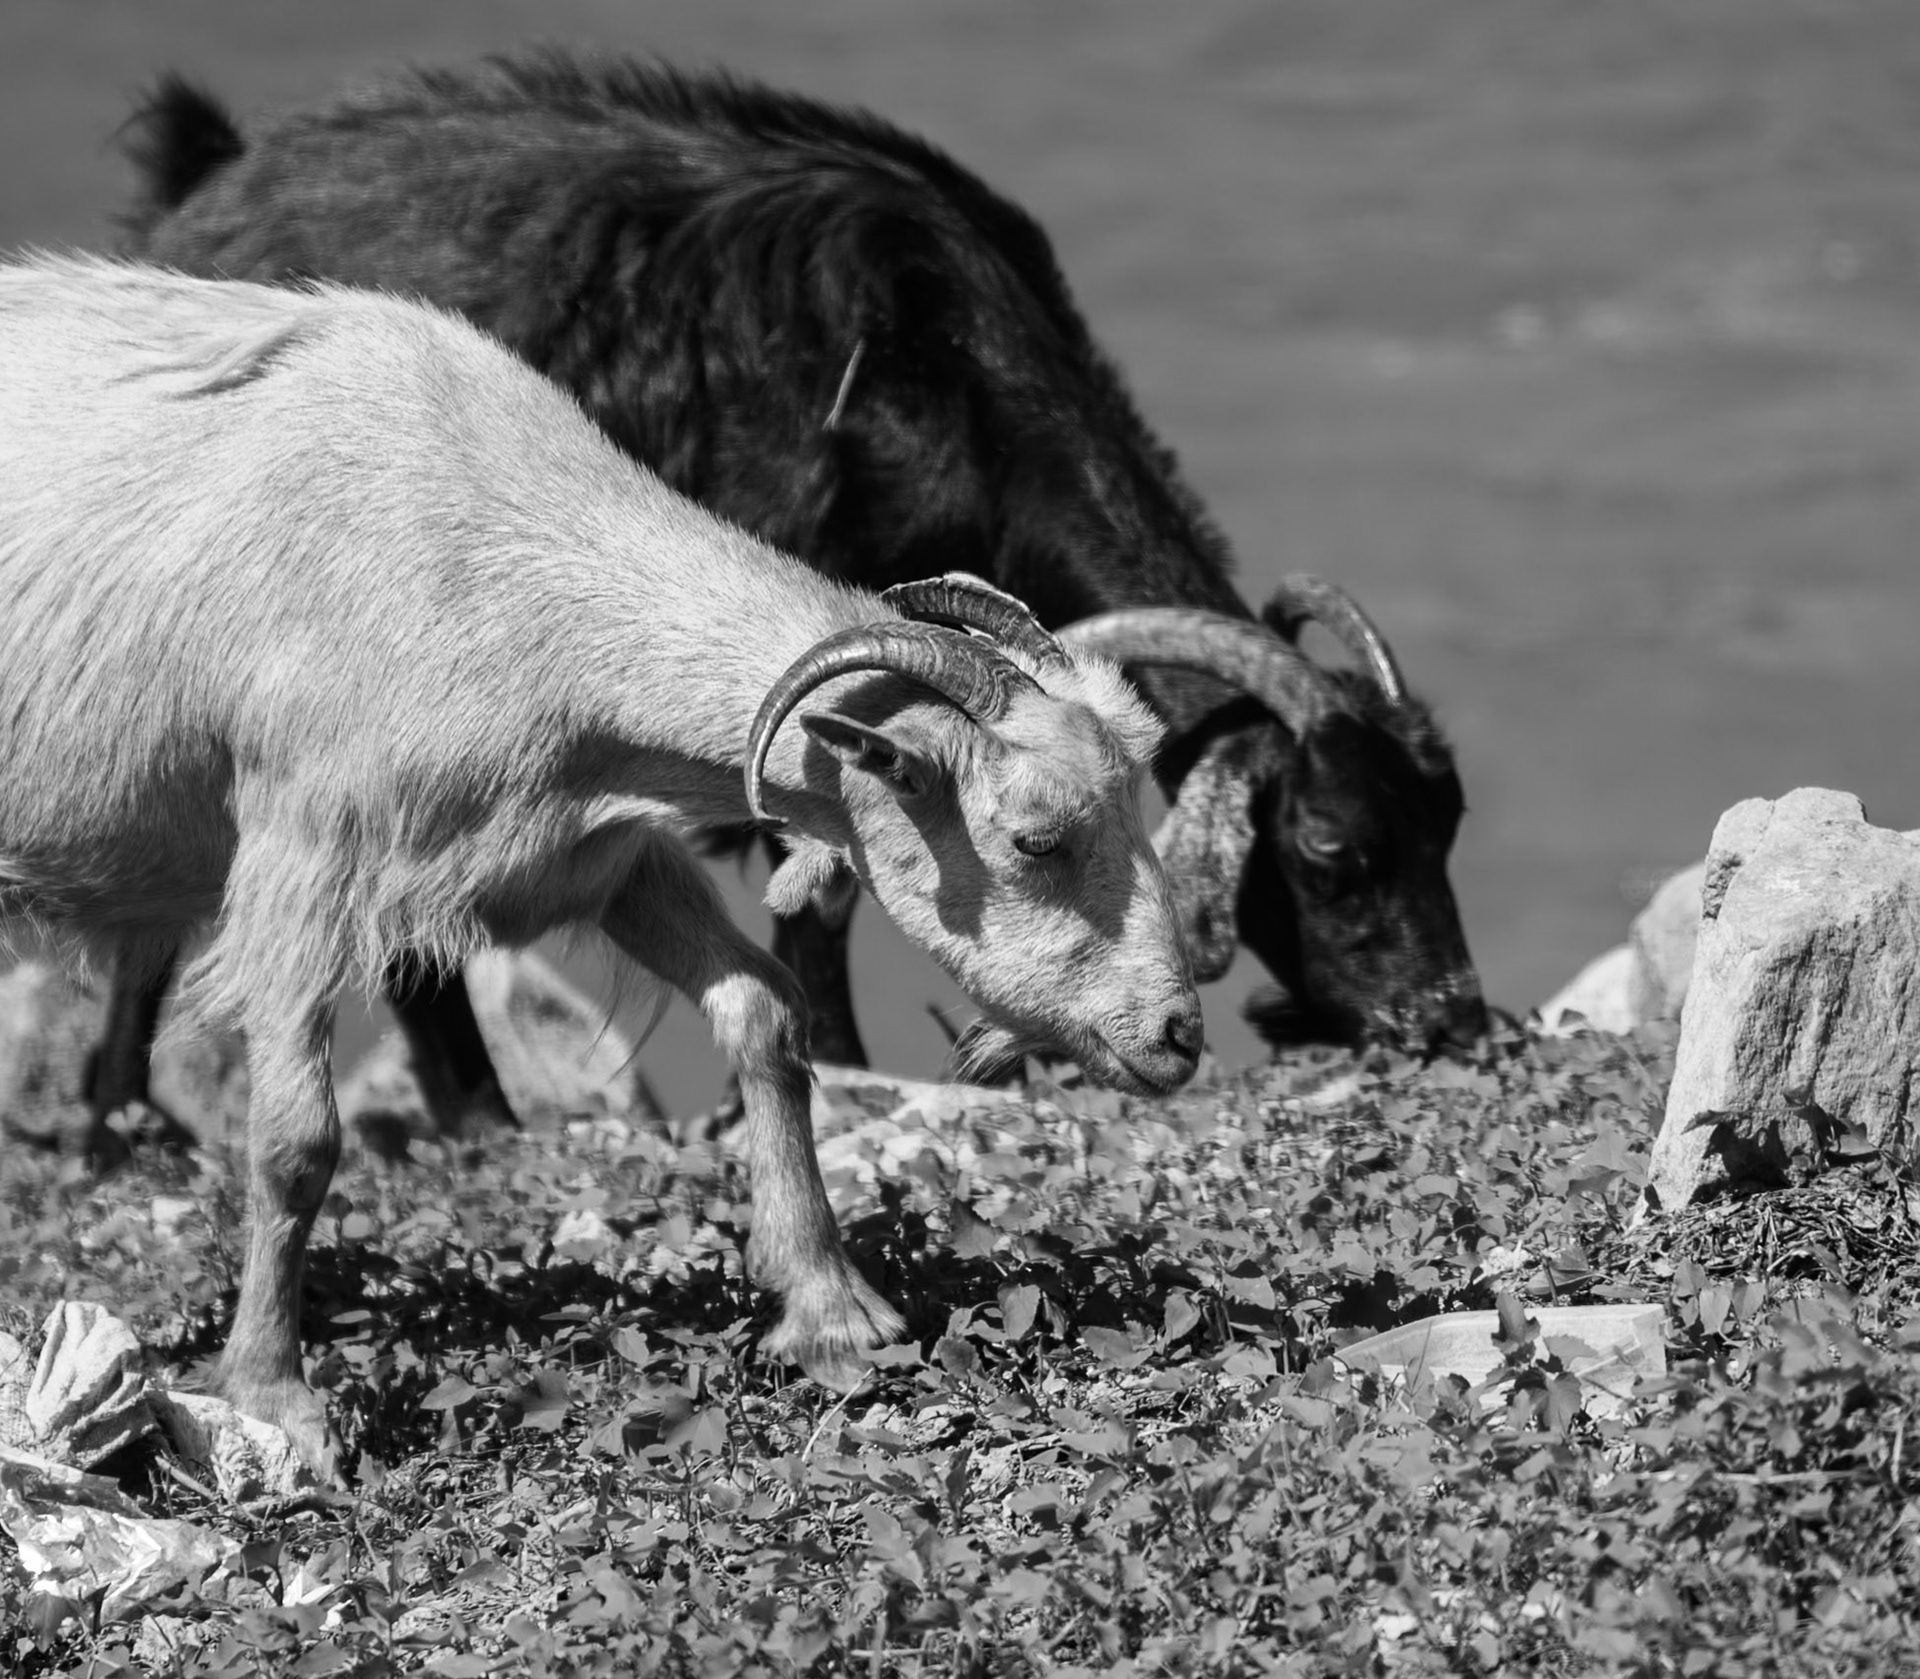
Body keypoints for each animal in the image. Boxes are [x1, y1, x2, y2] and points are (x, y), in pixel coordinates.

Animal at [0, 255, 1201, 1469]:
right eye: (1036, 838)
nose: (1179, 1034)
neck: (486, 555)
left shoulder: (600, 849)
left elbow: (765, 1013)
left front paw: (832, 1311)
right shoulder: (299, 852)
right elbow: (295, 1138)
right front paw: (273, 1398)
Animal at [110, 53, 1484, 1132]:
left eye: (1446, 825)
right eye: (1330, 846)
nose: (1452, 1022)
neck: (943, 379)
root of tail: (202, 185)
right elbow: (817, 891)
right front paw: (846, 1063)